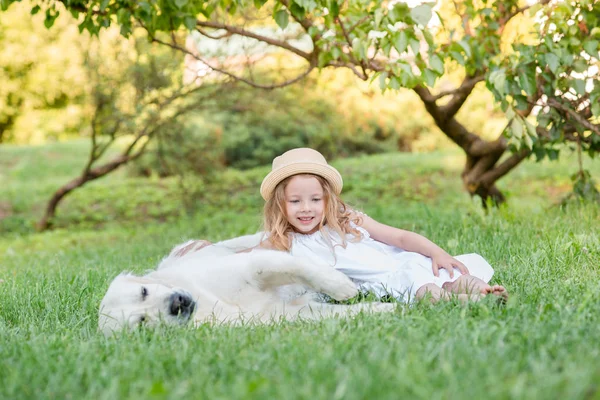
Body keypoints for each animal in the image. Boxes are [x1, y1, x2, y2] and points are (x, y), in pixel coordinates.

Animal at [98, 233, 394, 336]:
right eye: (142, 323)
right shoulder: (284, 313)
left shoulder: (248, 268)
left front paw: (341, 286)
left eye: (144, 291)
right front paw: (386, 310)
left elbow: (294, 266)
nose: (176, 304)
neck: (210, 304)